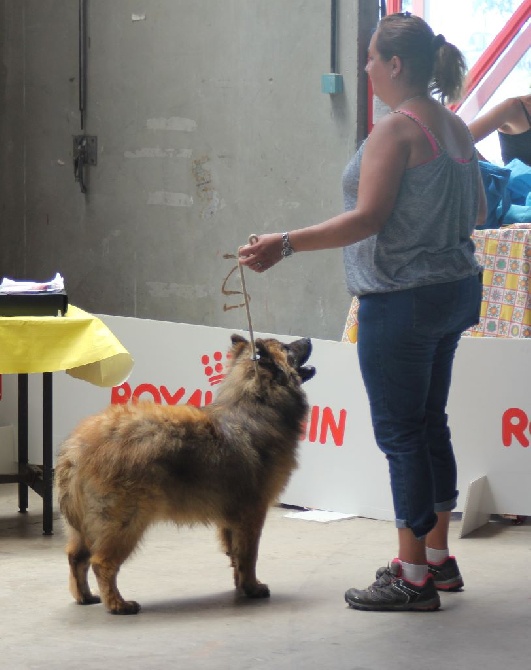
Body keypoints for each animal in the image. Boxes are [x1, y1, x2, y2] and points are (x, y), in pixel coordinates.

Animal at [57, 336, 316, 616]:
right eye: (288, 348)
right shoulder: (252, 514)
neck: (257, 402)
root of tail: (75, 449)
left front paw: (241, 586)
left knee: (76, 558)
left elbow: (235, 555)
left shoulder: (232, 518)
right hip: (124, 521)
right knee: (101, 562)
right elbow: (248, 555)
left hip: (84, 525)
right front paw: (252, 588)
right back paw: (118, 604)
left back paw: (85, 596)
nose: (308, 339)